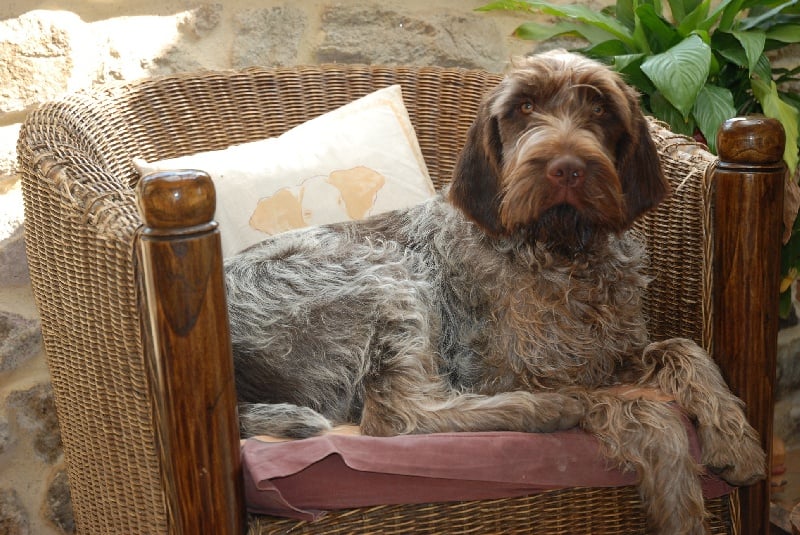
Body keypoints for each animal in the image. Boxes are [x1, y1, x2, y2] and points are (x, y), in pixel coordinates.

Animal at [225, 50, 766, 534]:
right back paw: (544, 410)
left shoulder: (610, 353)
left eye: (601, 110)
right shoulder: (498, 373)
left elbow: (685, 349)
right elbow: (642, 408)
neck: (560, 251)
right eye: (523, 107)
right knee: (394, 416)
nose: (567, 167)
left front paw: (734, 439)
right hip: (387, 277)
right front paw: (677, 495)